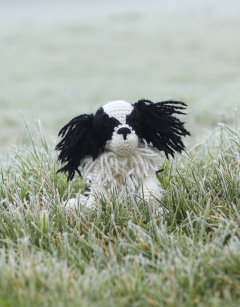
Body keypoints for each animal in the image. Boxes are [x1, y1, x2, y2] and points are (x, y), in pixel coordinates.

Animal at [55, 100, 189, 211]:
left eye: (134, 122)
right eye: (107, 126)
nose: (124, 130)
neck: (123, 158)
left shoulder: (146, 168)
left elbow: (149, 190)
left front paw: (149, 206)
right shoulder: (99, 171)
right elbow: (99, 194)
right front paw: (97, 208)